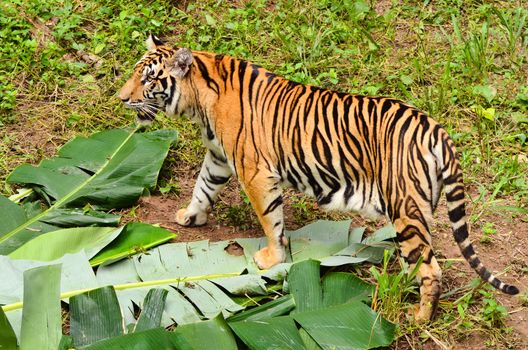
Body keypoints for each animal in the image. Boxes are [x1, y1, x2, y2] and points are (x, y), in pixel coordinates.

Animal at [117, 34, 516, 322]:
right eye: (135, 72)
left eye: (148, 79)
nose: (121, 98)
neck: (199, 100)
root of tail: (437, 130)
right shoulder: (218, 158)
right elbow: (203, 187)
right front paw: (190, 216)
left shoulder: (255, 172)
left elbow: (270, 218)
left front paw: (271, 258)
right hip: (419, 209)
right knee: (419, 258)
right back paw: (404, 285)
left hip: (405, 206)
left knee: (431, 268)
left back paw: (419, 317)